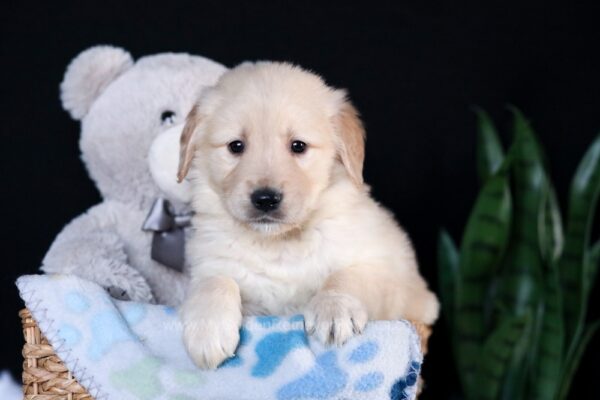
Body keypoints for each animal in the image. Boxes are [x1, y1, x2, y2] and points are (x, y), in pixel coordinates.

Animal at [176, 61, 438, 368]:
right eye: (235, 146)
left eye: (298, 146)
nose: (266, 199)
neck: (278, 244)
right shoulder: (210, 265)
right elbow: (214, 281)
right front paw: (208, 329)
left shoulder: (385, 272)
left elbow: (346, 276)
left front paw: (335, 308)